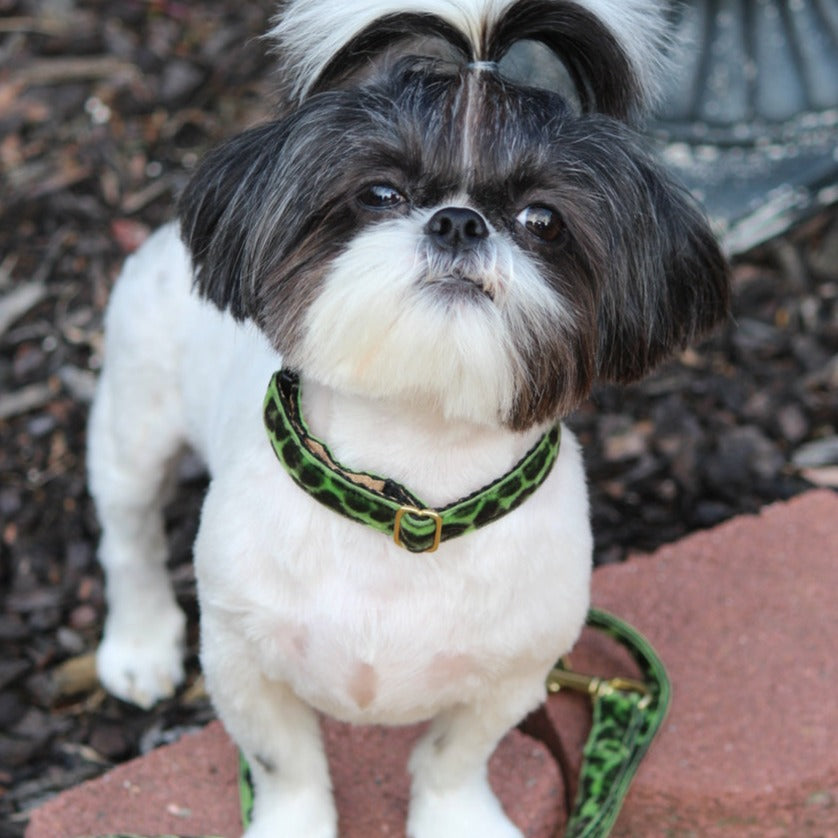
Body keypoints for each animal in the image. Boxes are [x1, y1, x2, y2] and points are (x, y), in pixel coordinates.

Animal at [90, 0, 728, 836]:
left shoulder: (518, 669)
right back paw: (139, 643)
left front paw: (458, 818)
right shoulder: (240, 654)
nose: (459, 221)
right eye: (380, 194)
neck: (412, 478)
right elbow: (285, 761)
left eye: (543, 220)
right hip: (134, 415)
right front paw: (293, 822)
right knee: (128, 533)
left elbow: (457, 756)